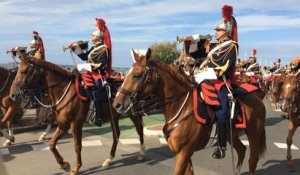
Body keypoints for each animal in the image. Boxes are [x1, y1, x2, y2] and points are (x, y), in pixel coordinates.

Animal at [10, 52, 146, 175]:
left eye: (24, 71)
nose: (12, 94)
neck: (65, 91)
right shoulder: (63, 124)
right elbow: (52, 144)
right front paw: (64, 164)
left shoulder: (75, 124)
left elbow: (77, 146)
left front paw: (76, 167)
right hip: (114, 117)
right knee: (116, 135)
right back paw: (109, 159)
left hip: (133, 114)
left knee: (140, 131)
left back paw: (142, 153)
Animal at [113, 48, 266, 174]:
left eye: (137, 75)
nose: (117, 104)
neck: (182, 107)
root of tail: (257, 98)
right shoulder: (182, 154)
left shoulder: (184, 153)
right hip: (231, 135)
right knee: (242, 151)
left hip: (253, 135)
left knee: (252, 161)